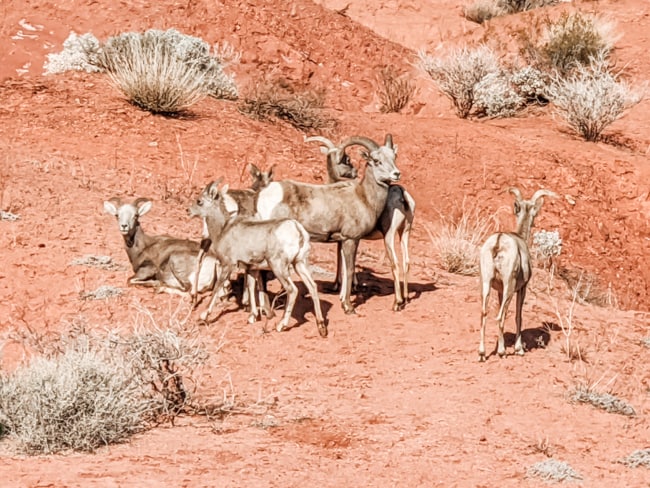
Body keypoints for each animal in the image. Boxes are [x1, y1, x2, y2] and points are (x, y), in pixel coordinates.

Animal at [189, 181, 327, 337]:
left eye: (199, 201)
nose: (188, 211)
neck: (223, 229)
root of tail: (298, 230)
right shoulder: (251, 268)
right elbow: (250, 287)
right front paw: (252, 317)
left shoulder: (227, 265)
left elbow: (217, 287)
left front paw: (203, 316)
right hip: (299, 264)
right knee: (312, 286)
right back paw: (322, 328)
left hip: (279, 267)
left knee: (292, 290)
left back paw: (281, 325)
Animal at [256, 134, 401, 314]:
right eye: (376, 160)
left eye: (394, 157)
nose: (396, 174)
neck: (364, 198)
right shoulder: (350, 239)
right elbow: (349, 270)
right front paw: (348, 307)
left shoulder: (346, 240)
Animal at [305, 135, 415, 311]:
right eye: (377, 160)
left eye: (393, 157)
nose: (396, 173)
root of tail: (401, 194)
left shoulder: (347, 238)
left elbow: (343, 262)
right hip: (405, 232)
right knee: (406, 262)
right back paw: (404, 299)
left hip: (389, 235)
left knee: (395, 263)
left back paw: (396, 303)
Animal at [478, 188, 557, 362]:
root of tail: (498, 243)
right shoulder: (522, 288)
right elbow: (518, 316)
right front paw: (519, 349)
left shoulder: (499, 290)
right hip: (509, 285)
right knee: (501, 316)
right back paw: (502, 353)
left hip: (486, 283)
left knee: (484, 313)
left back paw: (482, 354)